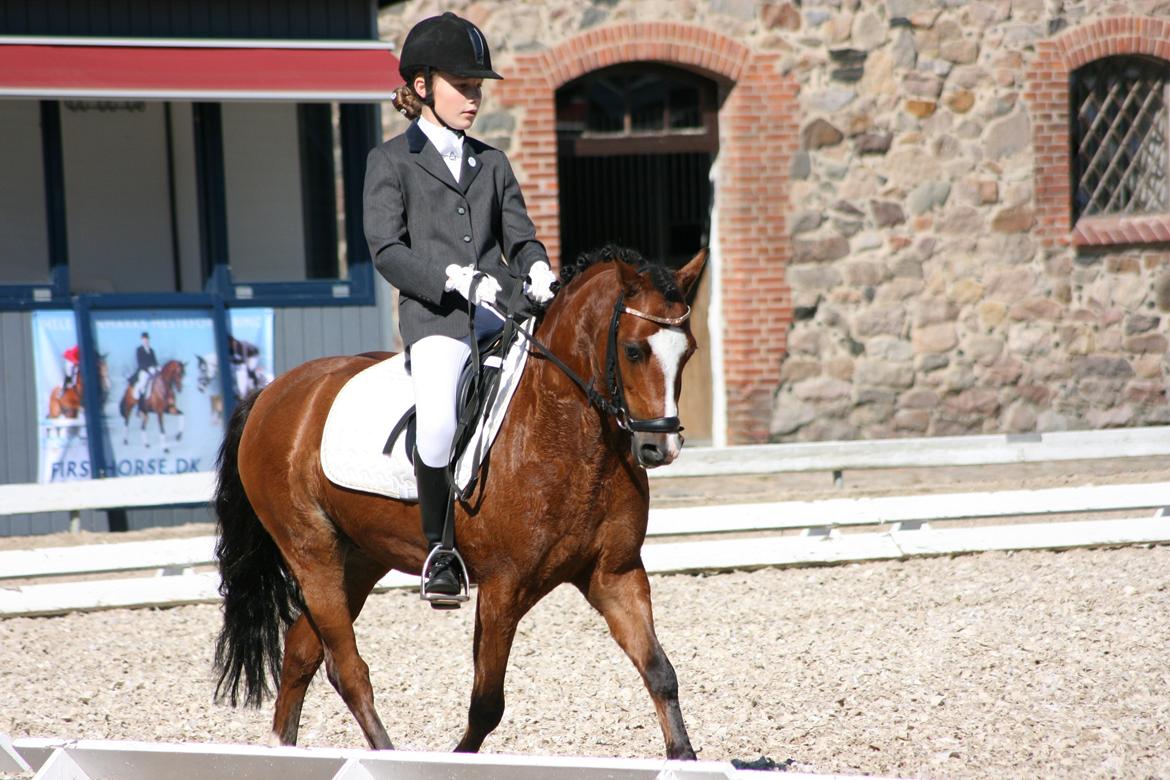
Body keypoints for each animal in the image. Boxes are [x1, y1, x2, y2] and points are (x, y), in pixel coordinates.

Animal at [212, 246, 707, 759]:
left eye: (688, 351)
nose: (660, 449)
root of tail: (273, 392)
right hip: (312, 551)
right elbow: (487, 703)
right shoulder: (503, 589)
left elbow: (660, 671)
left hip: (359, 558)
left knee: (302, 652)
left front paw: (684, 756)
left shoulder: (616, 574)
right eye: (634, 350)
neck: (567, 430)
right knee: (347, 669)